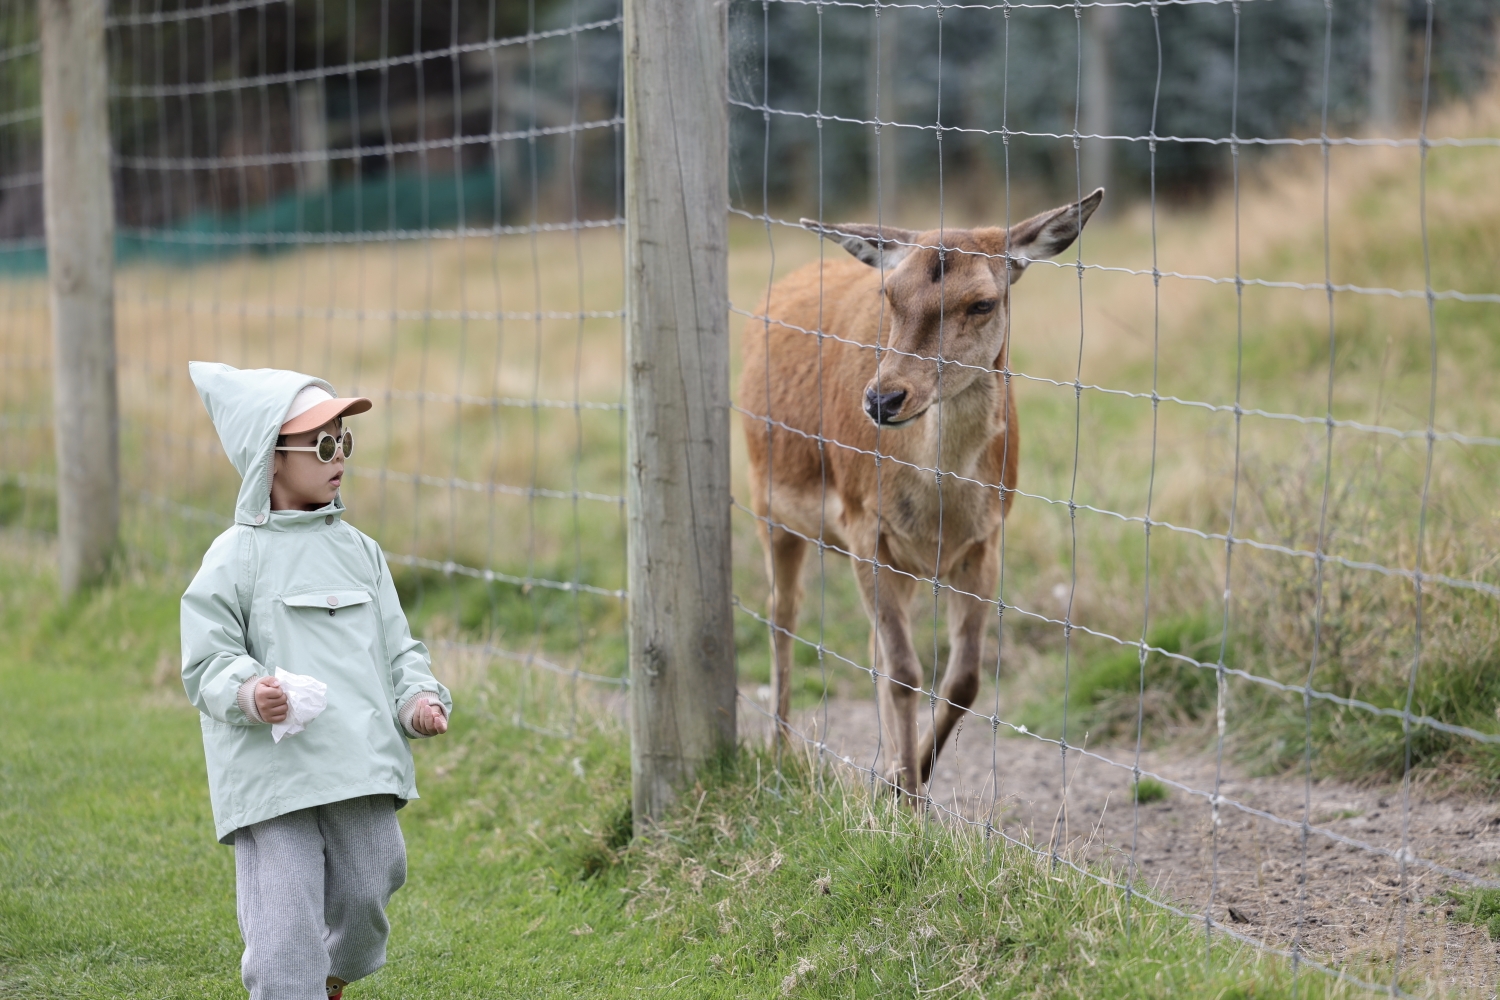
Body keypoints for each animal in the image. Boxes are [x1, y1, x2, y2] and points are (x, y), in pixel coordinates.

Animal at [738, 185, 1104, 797]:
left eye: (982, 303)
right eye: (888, 295)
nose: (883, 399)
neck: (940, 508)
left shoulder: (986, 538)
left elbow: (963, 680)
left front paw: (903, 780)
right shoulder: (863, 523)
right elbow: (906, 673)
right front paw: (906, 797)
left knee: (868, 646)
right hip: (768, 502)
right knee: (782, 616)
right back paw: (780, 747)